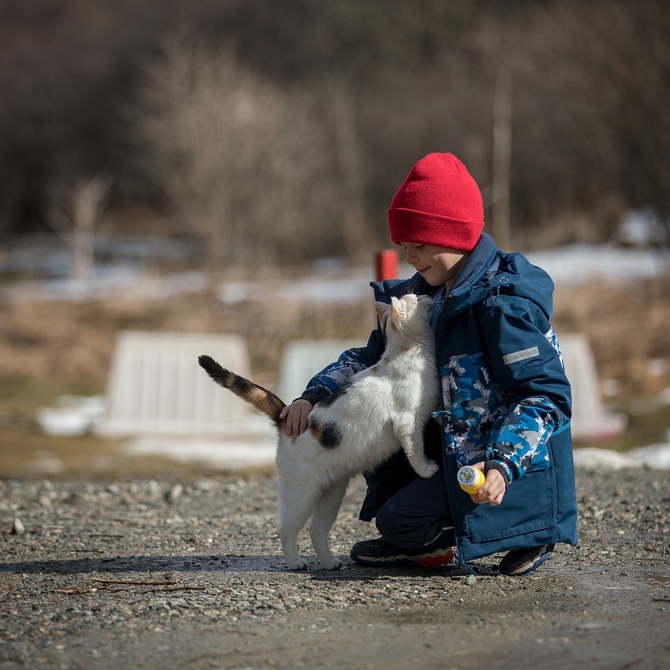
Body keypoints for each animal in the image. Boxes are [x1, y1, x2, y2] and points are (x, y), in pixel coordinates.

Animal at [200, 294, 440, 572]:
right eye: (414, 298)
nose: (426, 295)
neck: (407, 351)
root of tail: (285, 419)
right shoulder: (408, 422)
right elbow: (416, 450)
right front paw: (427, 469)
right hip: (301, 495)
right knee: (286, 529)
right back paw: (295, 562)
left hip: (332, 494)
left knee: (316, 529)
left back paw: (329, 562)